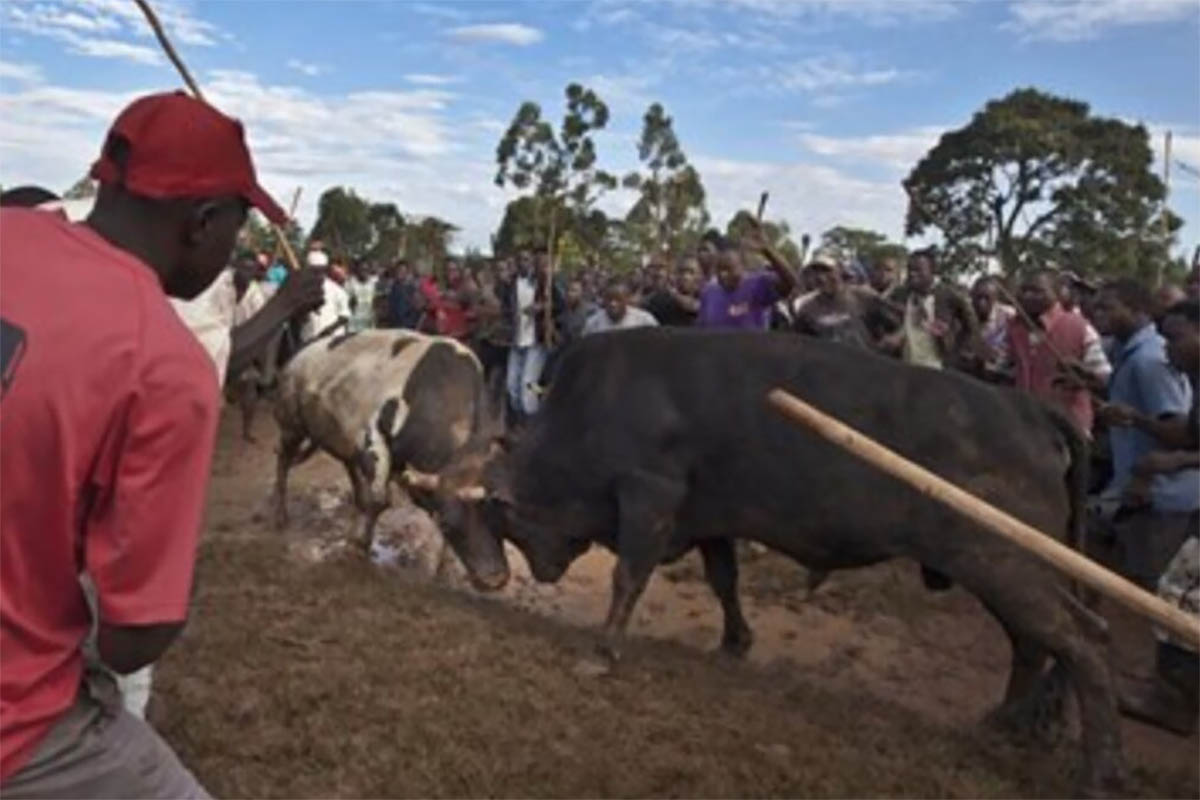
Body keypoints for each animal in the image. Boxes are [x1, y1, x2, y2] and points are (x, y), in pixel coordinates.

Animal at [274, 328, 508, 592]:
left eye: (499, 518)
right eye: (447, 524)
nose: (494, 579)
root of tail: (299, 354)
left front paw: (442, 568)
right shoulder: (373, 439)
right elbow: (379, 500)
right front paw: (359, 545)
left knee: (348, 465)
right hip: (290, 425)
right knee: (283, 459)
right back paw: (279, 513)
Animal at [448, 331, 1113, 796]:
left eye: (489, 522)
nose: (500, 576)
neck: (600, 401)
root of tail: (1027, 406)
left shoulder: (649, 496)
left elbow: (628, 578)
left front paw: (603, 650)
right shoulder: (709, 516)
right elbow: (724, 580)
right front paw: (734, 642)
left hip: (1001, 562)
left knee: (1082, 642)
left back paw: (1096, 772)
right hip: (1004, 573)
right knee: (1035, 645)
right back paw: (1000, 723)